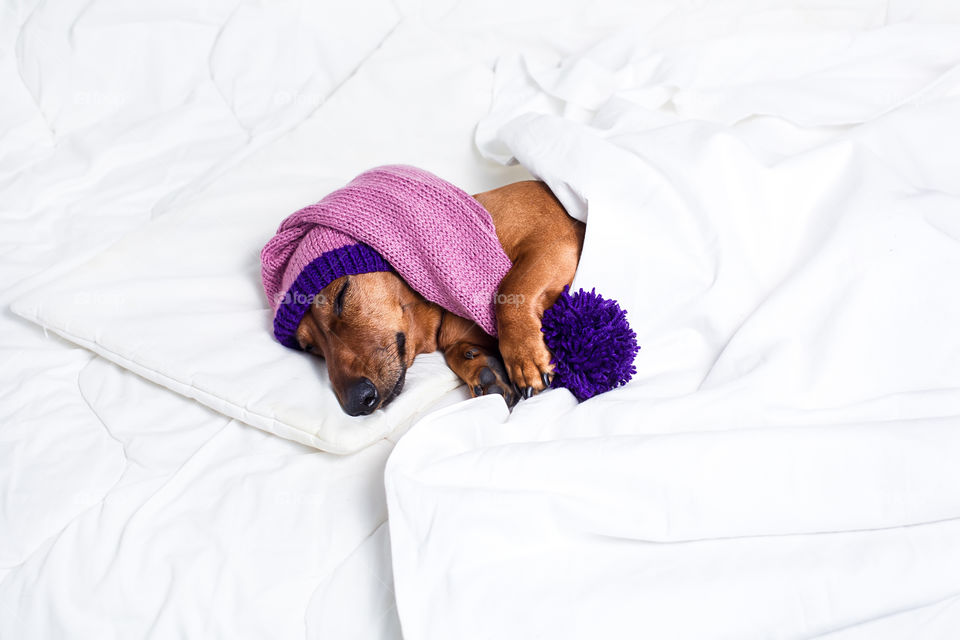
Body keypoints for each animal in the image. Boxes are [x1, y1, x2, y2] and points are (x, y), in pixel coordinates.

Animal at [258, 172, 580, 418]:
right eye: (309, 347)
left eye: (341, 296)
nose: (355, 403)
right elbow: (458, 350)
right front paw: (481, 366)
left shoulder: (554, 241)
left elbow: (510, 289)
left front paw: (524, 356)